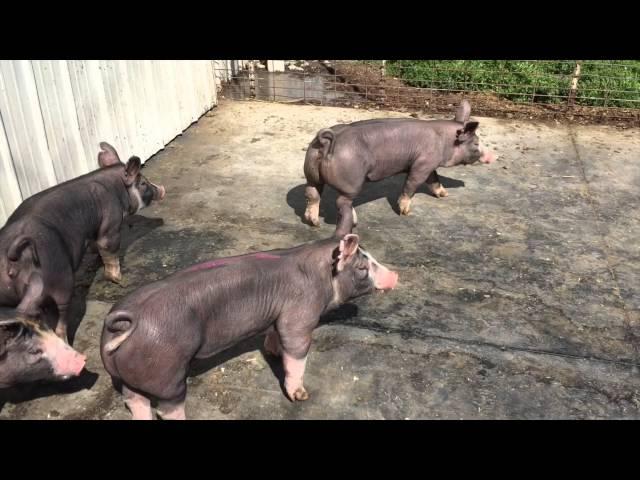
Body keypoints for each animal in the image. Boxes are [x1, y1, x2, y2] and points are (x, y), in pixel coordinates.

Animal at [0, 141, 168, 344]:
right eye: (143, 183)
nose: (163, 189)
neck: (116, 189)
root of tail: (14, 256)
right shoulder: (110, 224)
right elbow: (110, 251)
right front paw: (120, 279)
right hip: (59, 281)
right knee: (59, 319)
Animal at [99, 234, 396, 418]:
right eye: (362, 268)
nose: (395, 275)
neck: (321, 273)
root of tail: (128, 321)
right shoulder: (299, 314)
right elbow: (296, 350)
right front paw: (301, 396)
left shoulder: (276, 315)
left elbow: (275, 334)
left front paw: (274, 353)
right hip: (168, 372)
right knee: (166, 408)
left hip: (126, 374)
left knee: (133, 400)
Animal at [302, 100, 498, 236]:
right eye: (476, 143)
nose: (493, 157)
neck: (444, 141)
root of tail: (327, 142)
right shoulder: (422, 164)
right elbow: (411, 184)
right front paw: (405, 212)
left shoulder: (429, 166)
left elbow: (434, 179)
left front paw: (444, 194)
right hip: (351, 181)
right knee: (342, 202)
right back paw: (354, 223)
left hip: (311, 174)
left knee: (312, 194)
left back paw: (314, 223)